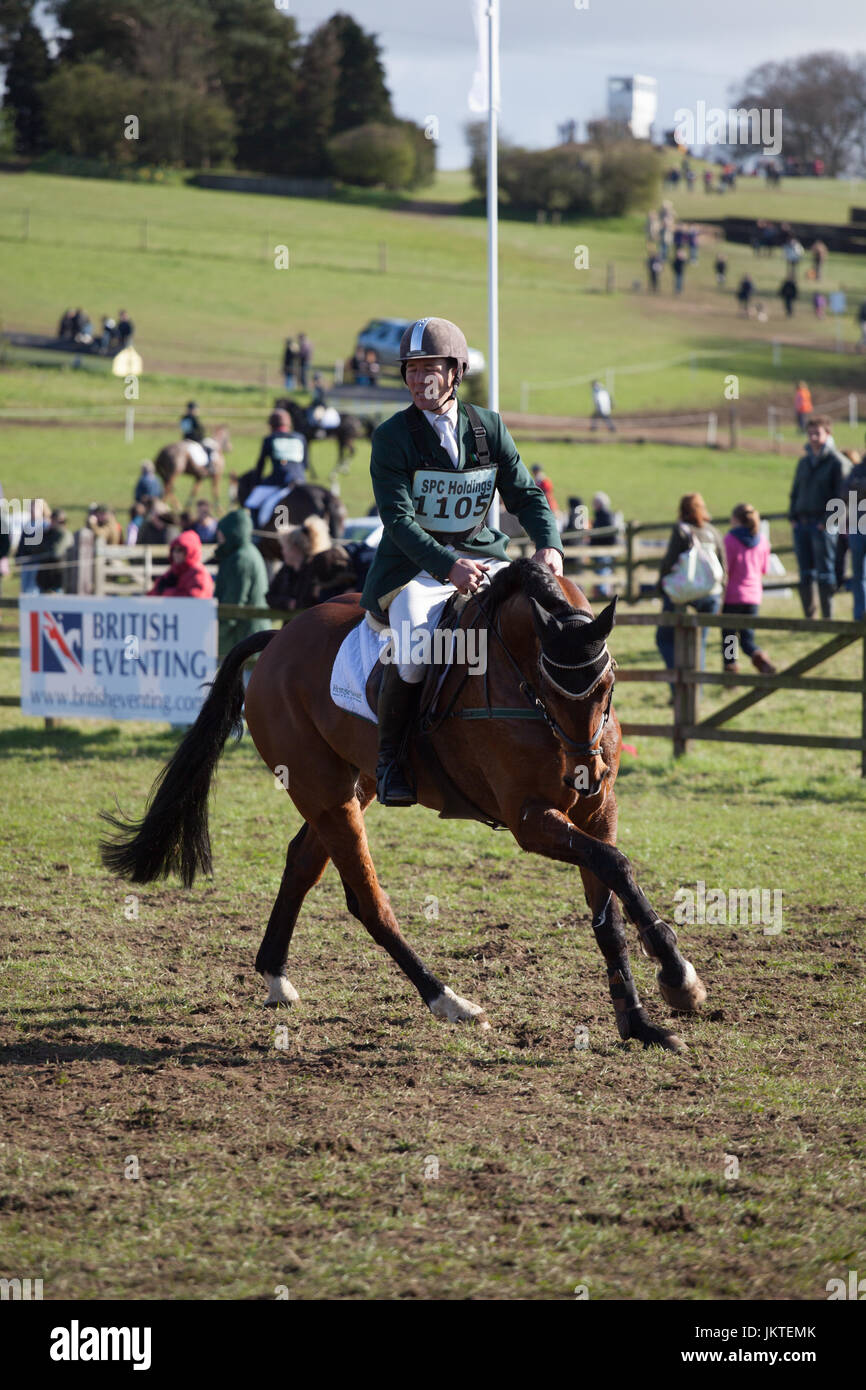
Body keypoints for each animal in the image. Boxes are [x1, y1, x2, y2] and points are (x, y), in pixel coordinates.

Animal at [99, 558, 707, 1051]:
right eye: (547, 685)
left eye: (606, 684)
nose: (586, 774)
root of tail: (278, 639)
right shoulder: (530, 821)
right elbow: (617, 865)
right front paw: (678, 978)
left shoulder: (595, 812)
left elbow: (609, 907)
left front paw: (641, 1022)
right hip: (325, 793)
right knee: (369, 902)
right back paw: (449, 1001)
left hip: (352, 785)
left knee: (302, 863)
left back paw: (275, 976)